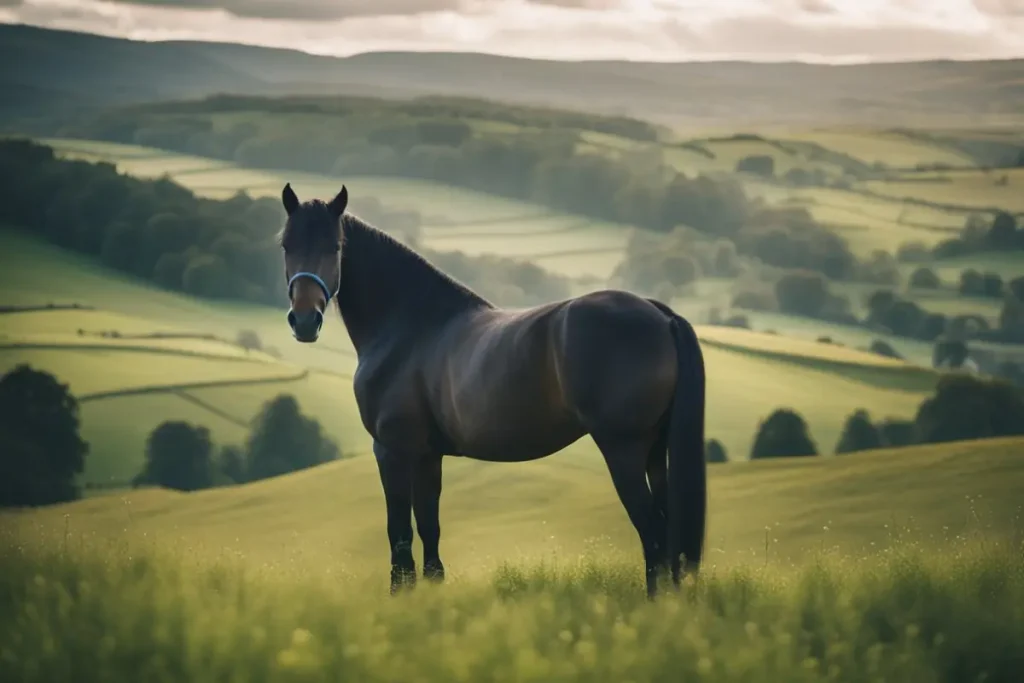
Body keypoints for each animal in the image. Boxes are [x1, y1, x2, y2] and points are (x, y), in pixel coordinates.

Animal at [278, 183, 707, 598]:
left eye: (335, 247)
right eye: (286, 245)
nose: (305, 320)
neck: (409, 326)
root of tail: (659, 315)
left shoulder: (391, 450)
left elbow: (398, 532)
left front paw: (400, 595)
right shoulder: (427, 455)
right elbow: (429, 528)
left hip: (623, 450)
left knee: (653, 534)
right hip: (655, 451)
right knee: (668, 534)